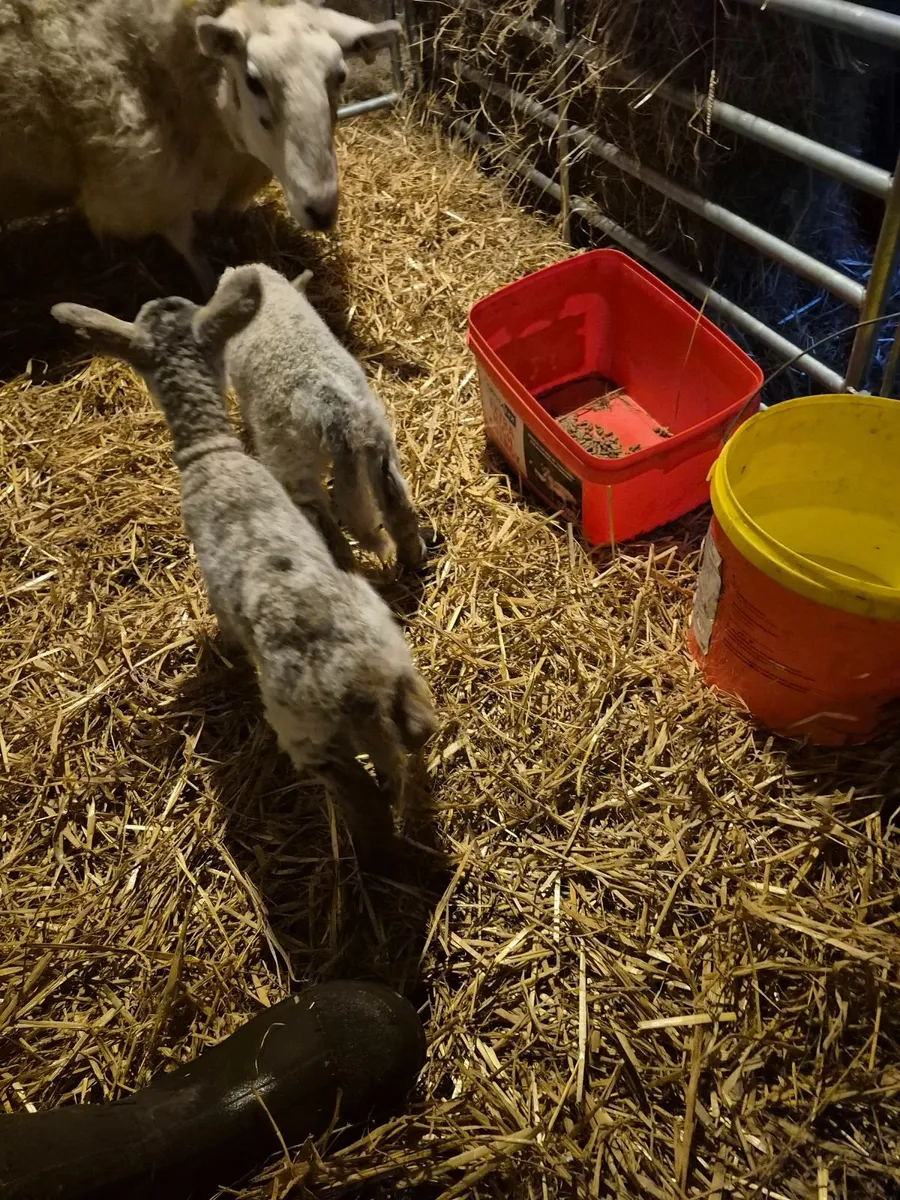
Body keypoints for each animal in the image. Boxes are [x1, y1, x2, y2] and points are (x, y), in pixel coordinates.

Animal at [0, 0, 400, 291]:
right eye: (254, 81)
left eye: (340, 75)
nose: (321, 210)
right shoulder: (148, 181)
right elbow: (188, 245)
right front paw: (212, 286)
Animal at [218, 262, 431, 572]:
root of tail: (333, 408)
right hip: (378, 443)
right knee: (395, 503)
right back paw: (413, 556)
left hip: (292, 459)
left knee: (320, 517)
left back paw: (343, 565)